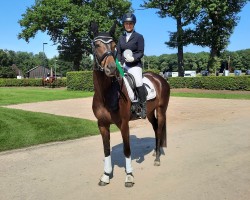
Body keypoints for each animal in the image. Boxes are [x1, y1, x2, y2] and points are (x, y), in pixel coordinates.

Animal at [90, 22, 170, 188]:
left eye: (113, 45)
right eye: (96, 44)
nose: (111, 68)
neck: (105, 94)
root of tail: (160, 78)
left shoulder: (124, 124)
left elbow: (127, 150)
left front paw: (129, 176)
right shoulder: (102, 124)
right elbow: (106, 150)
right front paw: (106, 175)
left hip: (161, 111)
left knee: (159, 130)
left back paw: (157, 158)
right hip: (150, 113)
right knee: (155, 128)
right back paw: (155, 151)